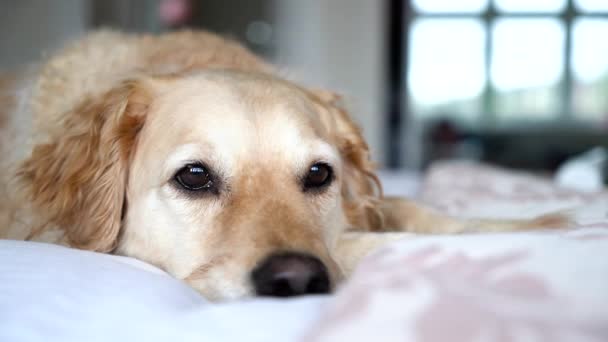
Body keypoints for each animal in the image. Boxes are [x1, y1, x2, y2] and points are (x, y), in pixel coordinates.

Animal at [0, 30, 564, 300]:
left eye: (319, 174)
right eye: (194, 176)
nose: (295, 282)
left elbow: (414, 209)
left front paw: (533, 223)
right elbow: (365, 242)